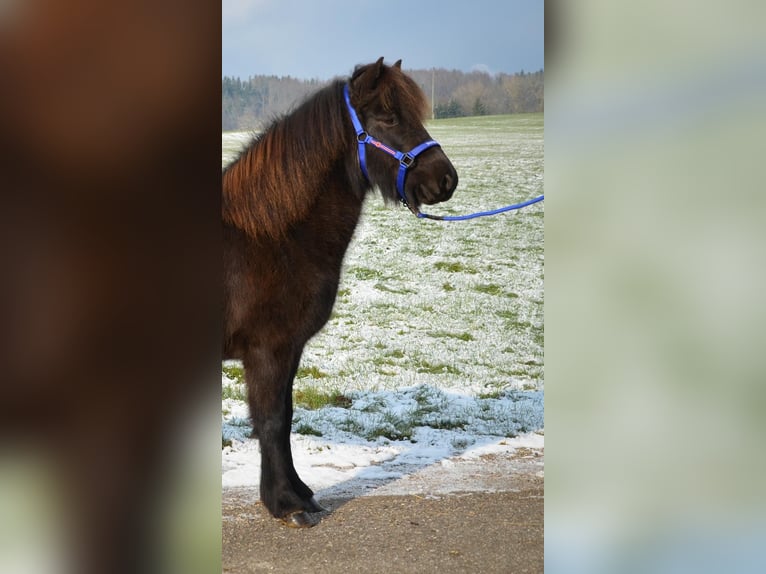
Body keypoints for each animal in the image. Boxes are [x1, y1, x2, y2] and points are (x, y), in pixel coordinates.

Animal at [222, 57, 458, 527]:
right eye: (388, 117)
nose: (445, 180)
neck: (271, 235)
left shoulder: (290, 349)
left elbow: (285, 417)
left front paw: (299, 493)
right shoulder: (268, 349)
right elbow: (272, 420)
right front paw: (287, 504)